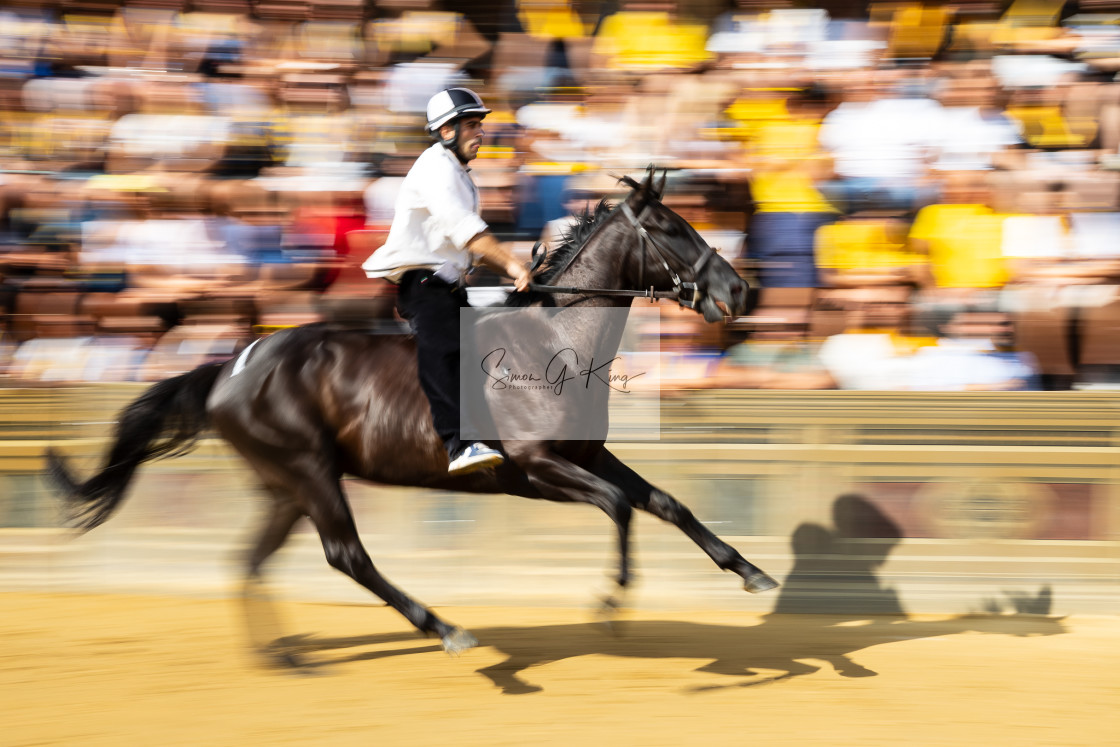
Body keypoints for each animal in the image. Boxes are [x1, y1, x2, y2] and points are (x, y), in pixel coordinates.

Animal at [45, 166, 778, 663]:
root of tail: (231, 366)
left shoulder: (588, 456)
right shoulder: (539, 467)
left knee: (250, 560)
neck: (553, 338)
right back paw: (444, 627)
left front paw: (753, 573)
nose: (740, 290)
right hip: (310, 473)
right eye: (670, 228)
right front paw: (608, 602)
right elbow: (623, 507)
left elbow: (667, 503)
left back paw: (284, 656)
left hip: (285, 485)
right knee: (347, 554)